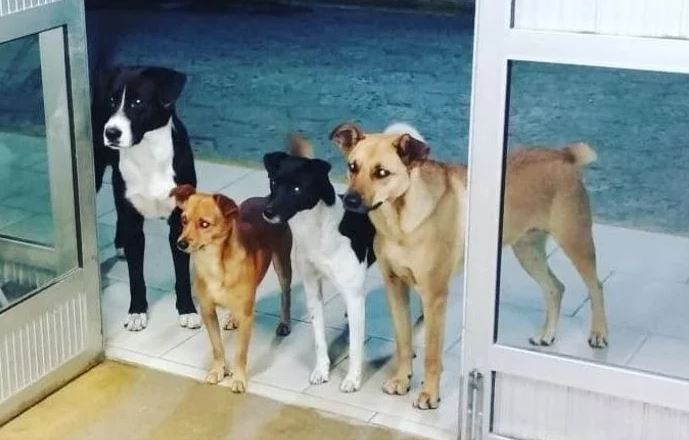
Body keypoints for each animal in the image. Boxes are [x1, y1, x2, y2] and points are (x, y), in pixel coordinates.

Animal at [93, 66, 199, 330]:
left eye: (138, 102)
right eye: (113, 100)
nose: (111, 132)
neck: (148, 154)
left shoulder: (178, 222)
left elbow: (182, 275)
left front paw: (188, 310)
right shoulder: (132, 217)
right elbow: (135, 276)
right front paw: (136, 312)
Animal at [172, 184, 292, 394]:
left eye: (205, 224)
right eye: (184, 220)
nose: (181, 243)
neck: (213, 263)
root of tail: (265, 198)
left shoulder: (247, 316)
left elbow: (240, 352)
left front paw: (238, 378)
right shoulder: (207, 311)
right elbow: (217, 347)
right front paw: (218, 370)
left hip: (282, 264)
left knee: (286, 295)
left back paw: (284, 323)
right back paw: (231, 318)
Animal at [260, 138, 374, 392]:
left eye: (297, 189)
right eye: (274, 182)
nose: (268, 212)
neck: (318, 229)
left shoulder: (353, 294)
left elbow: (355, 345)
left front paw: (352, 379)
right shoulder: (313, 289)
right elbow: (319, 337)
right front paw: (321, 370)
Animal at [334, 121, 608, 410]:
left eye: (382, 172)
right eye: (352, 166)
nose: (349, 200)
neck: (399, 220)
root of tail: (564, 154)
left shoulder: (434, 297)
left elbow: (432, 354)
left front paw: (429, 395)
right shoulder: (395, 287)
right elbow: (403, 341)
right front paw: (402, 380)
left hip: (575, 241)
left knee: (596, 286)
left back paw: (599, 333)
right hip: (528, 251)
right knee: (556, 287)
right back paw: (548, 334)